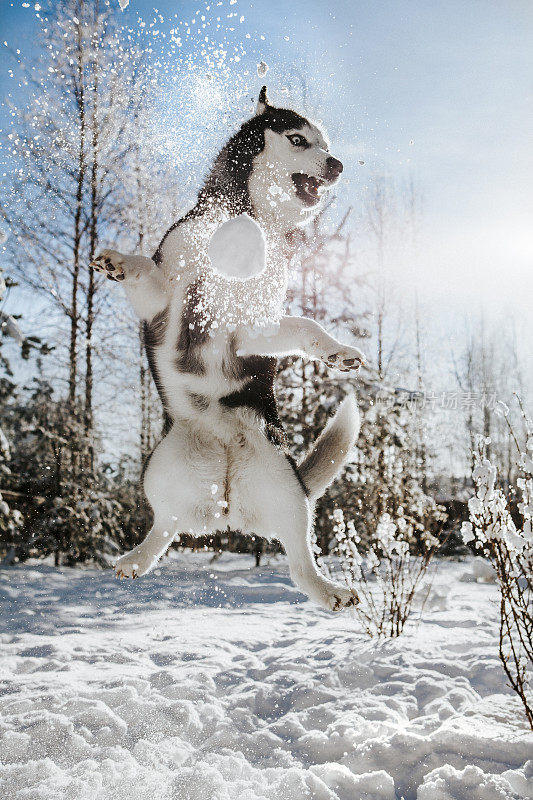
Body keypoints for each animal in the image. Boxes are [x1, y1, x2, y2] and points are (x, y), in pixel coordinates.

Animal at [92, 87, 366, 608]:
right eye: (300, 140)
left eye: (326, 145)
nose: (338, 164)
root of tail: (227, 497)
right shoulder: (164, 300)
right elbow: (147, 271)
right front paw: (120, 261)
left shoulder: (253, 326)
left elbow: (305, 326)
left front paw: (337, 351)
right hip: (160, 473)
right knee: (164, 526)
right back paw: (136, 558)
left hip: (287, 493)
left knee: (300, 564)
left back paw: (329, 591)